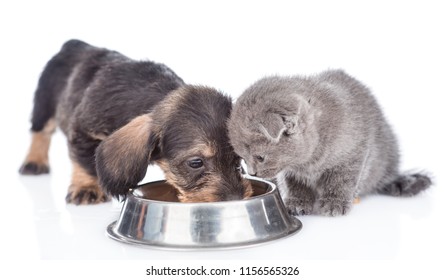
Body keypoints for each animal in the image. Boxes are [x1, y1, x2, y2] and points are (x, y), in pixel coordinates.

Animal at [20, 39, 253, 205]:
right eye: (196, 163)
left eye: (238, 160)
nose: (235, 200)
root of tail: (74, 43)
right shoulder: (83, 129)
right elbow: (86, 163)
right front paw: (87, 188)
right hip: (44, 104)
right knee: (40, 132)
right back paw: (34, 161)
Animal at [229, 69, 430, 217]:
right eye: (243, 158)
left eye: (260, 157)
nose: (252, 172)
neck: (309, 161)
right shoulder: (291, 171)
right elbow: (295, 185)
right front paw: (296, 203)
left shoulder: (353, 155)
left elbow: (341, 181)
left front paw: (335, 203)